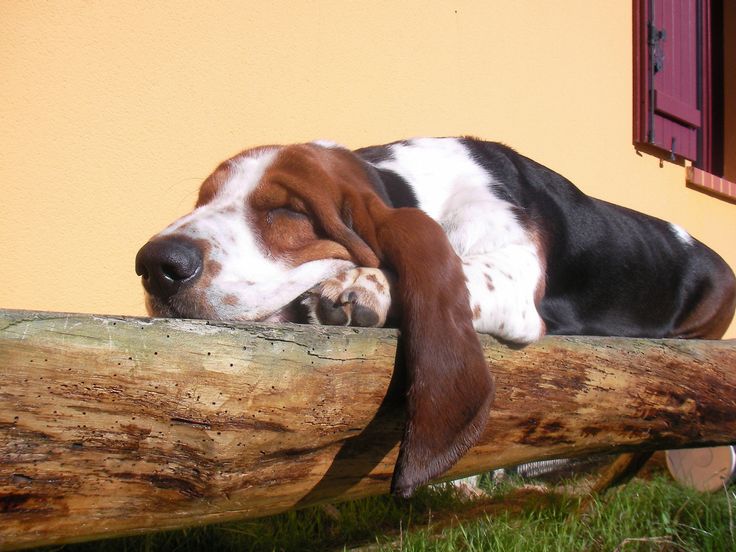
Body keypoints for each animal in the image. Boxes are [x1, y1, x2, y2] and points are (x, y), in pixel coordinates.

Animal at [135, 137, 732, 496]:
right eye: (203, 200)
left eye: (287, 211)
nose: (155, 265)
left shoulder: (515, 279)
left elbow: (459, 270)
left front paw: (363, 285)